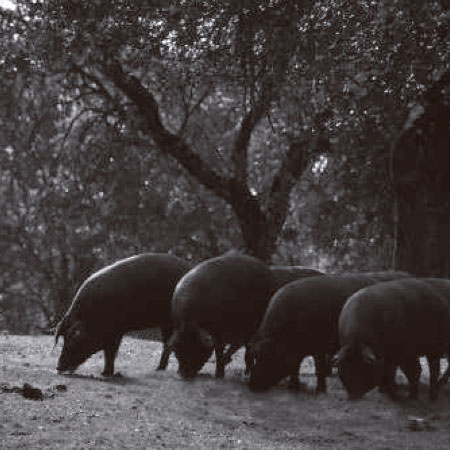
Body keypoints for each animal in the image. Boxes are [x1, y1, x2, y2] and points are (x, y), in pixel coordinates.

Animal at [55, 253, 191, 376]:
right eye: (64, 338)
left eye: (72, 340)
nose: (58, 367)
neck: (91, 316)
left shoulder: (116, 331)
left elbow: (110, 352)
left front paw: (106, 374)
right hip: (165, 323)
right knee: (168, 343)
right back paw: (160, 369)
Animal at [248, 270, 410, 394]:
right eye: (256, 356)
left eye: (269, 357)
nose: (252, 385)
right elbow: (295, 367)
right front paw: (293, 387)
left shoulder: (319, 346)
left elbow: (318, 367)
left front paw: (320, 390)